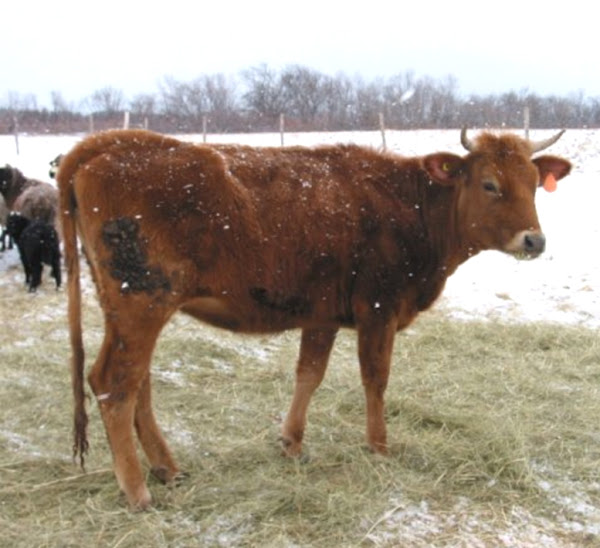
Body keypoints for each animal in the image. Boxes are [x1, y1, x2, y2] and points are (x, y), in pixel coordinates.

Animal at [56, 126, 572, 508]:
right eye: (490, 184)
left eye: (533, 184)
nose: (535, 240)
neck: (412, 207)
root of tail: (108, 141)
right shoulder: (379, 309)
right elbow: (375, 379)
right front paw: (379, 447)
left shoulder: (321, 313)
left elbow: (309, 374)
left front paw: (292, 443)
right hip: (142, 301)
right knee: (114, 382)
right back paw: (137, 490)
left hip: (129, 307)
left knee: (136, 383)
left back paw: (167, 468)